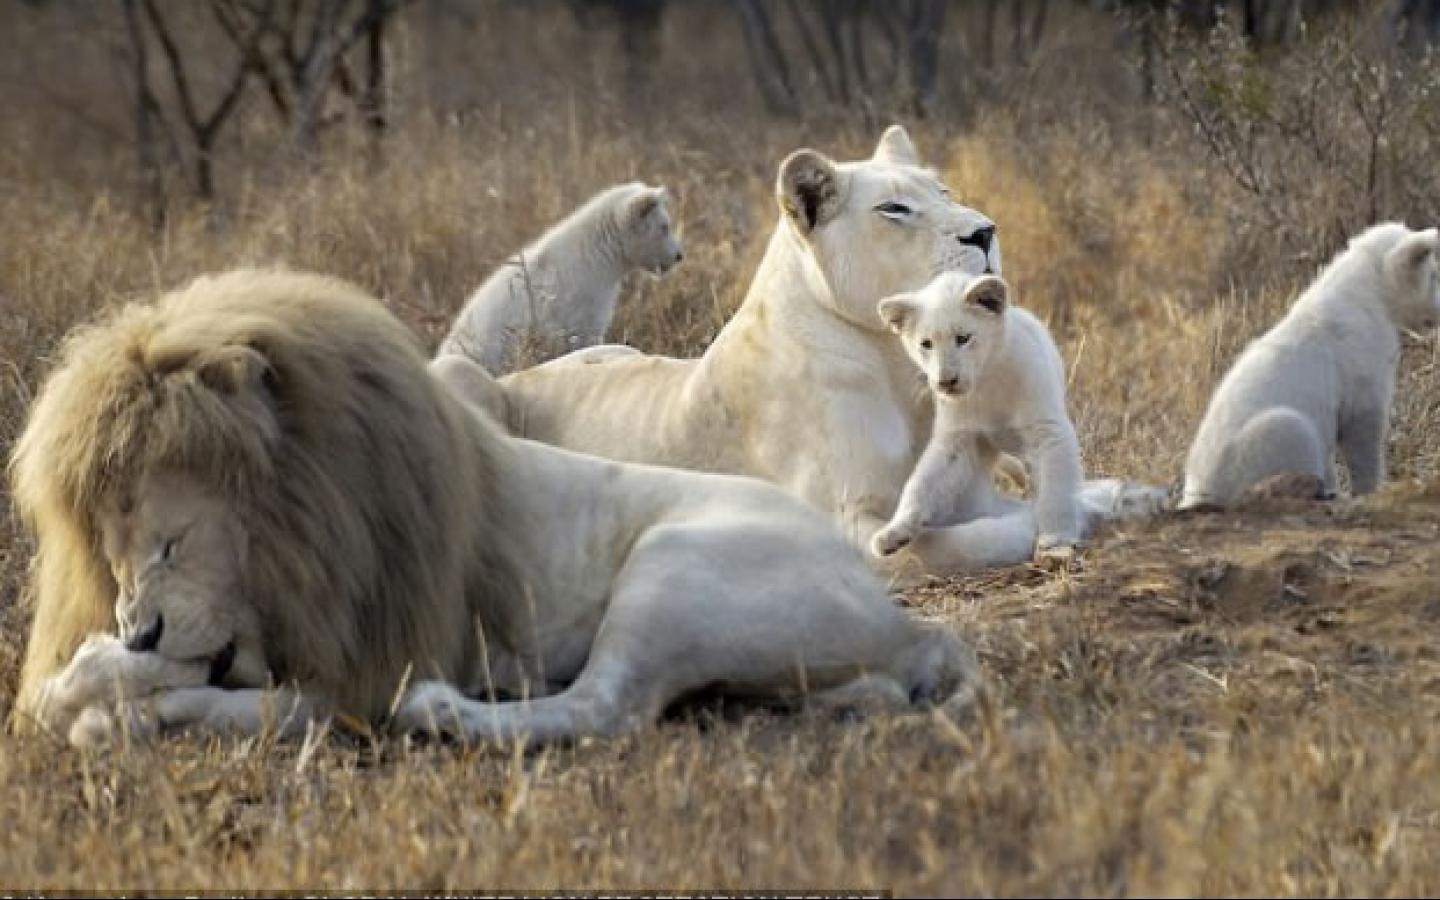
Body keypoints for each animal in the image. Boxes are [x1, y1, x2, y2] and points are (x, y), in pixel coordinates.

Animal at [8, 269, 976, 747]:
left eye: (170, 541)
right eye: (110, 551)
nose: (139, 627)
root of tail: (906, 623)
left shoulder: (367, 662)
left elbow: (263, 704)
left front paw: (113, 698)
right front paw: (105, 691)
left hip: (676, 572)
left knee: (603, 710)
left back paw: (441, 713)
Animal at [440, 126, 1163, 575]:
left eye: (945, 192)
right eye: (895, 209)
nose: (985, 231)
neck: (899, 368)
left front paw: (1113, 498)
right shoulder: (843, 522)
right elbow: (969, 537)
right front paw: (1059, 521)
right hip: (461, 376)